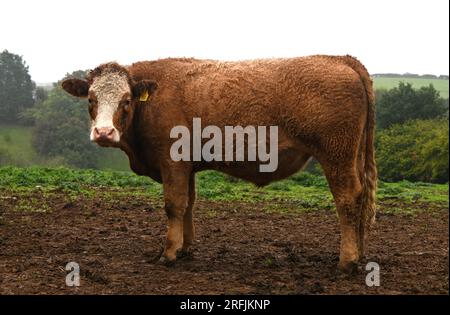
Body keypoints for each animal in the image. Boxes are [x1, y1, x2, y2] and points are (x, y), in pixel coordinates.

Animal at [60, 55, 376, 276]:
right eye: (91, 99)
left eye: (126, 101)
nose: (103, 133)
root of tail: (339, 58)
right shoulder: (186, 166)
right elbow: (188, 203)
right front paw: (185, 248)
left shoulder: (172, 162)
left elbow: (173, 205)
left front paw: (169, 253)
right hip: (353, 157)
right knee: (361, 198)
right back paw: (360, 255)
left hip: (337, 156)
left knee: (348, 199)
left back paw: (347, 262)